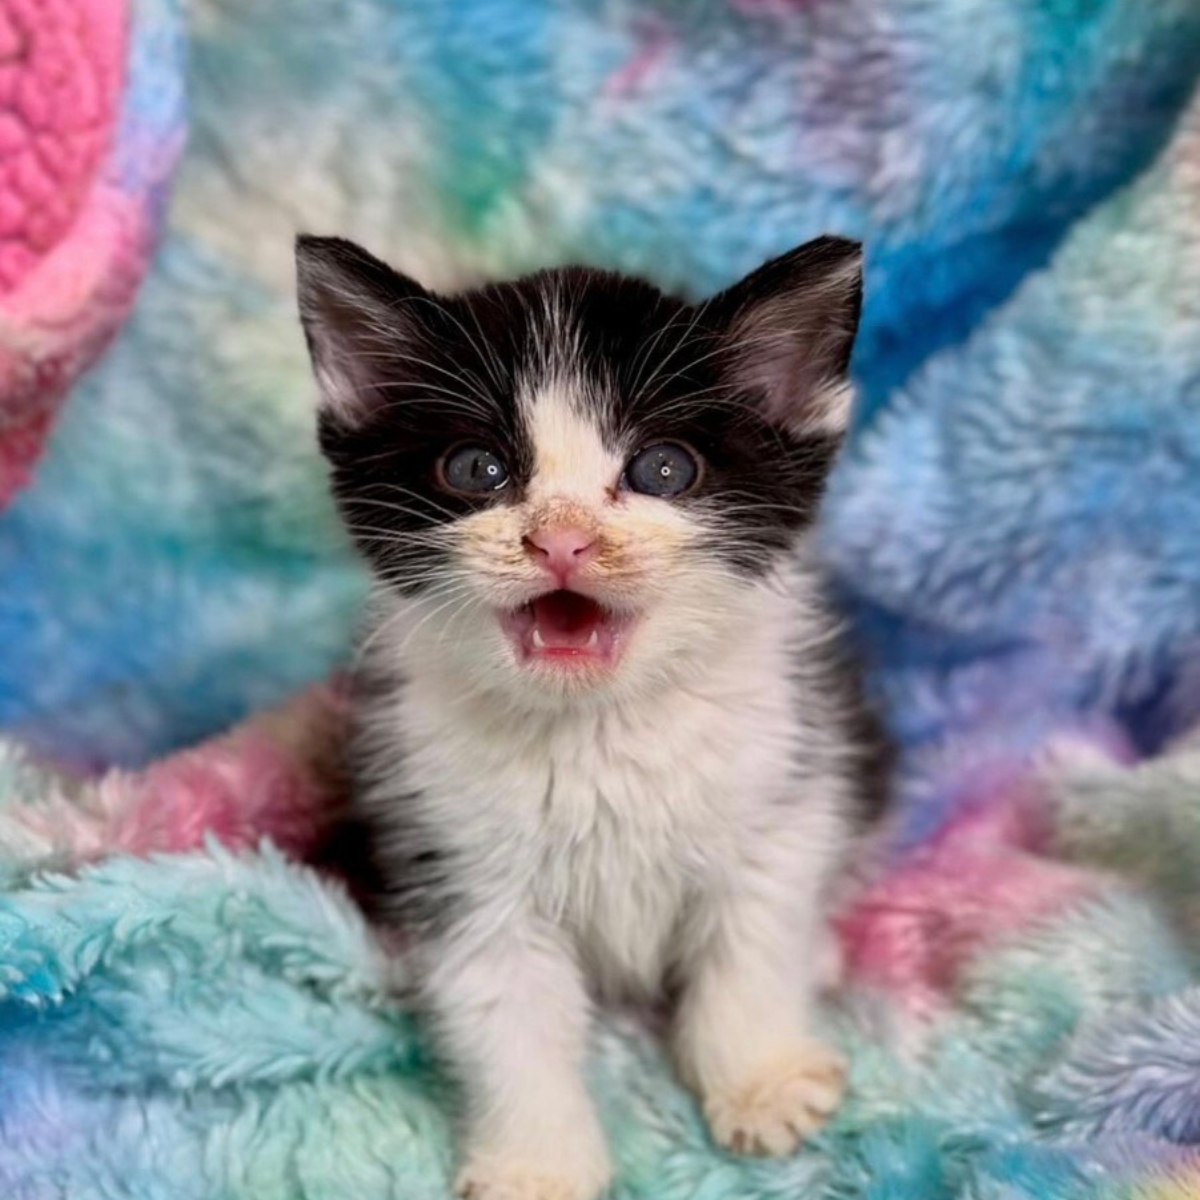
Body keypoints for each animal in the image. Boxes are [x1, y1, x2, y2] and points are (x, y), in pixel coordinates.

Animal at [296, 231, 888, 1200]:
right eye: (477, 469)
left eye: (663, 469)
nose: (562, 539)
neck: (597, 726)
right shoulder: (449, 847)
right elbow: (505, 1012)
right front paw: (537, 1162)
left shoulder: (786, 782)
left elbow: (753, 939)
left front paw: (758, 1076)